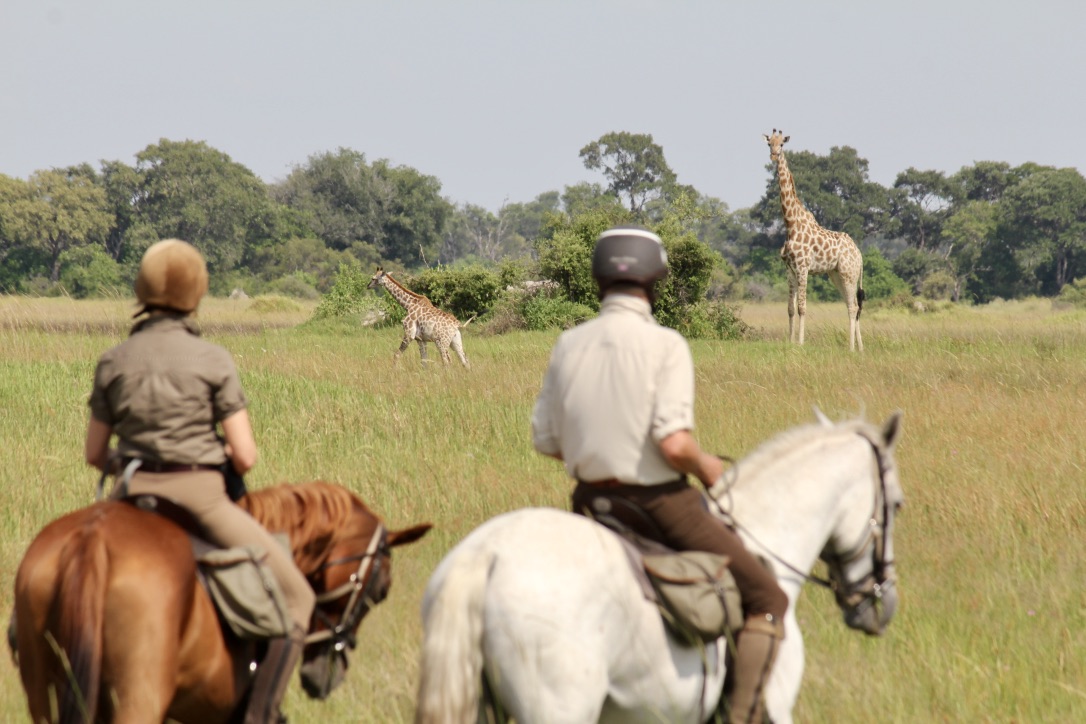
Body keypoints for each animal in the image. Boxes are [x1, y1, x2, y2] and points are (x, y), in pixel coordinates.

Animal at [764, 132, 864, 353]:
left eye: (781, 144)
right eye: (769, 143)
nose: (773, 156)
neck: (790, 223)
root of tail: (860, 255)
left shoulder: (803, 267)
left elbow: (802, 307)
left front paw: (801, 343)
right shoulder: (789, 269)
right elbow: (790, 308)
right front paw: (790, 341)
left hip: (849, 274)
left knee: (853, 306)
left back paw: (851, 347)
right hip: (836, 275)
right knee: (852, 305)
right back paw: (860, 347)